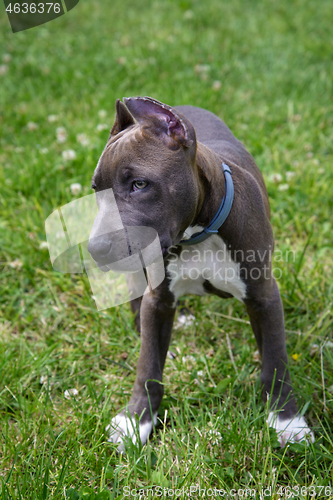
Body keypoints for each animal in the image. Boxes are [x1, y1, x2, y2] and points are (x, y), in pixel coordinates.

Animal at [87, 96, 312, 450]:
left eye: (140, 184)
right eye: (97, 190)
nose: (95, 248)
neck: (197, 234)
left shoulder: (263, 295)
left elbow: (275, 360)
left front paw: (287, 420)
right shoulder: (159, 299)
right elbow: (148, 365)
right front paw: (135, 421)